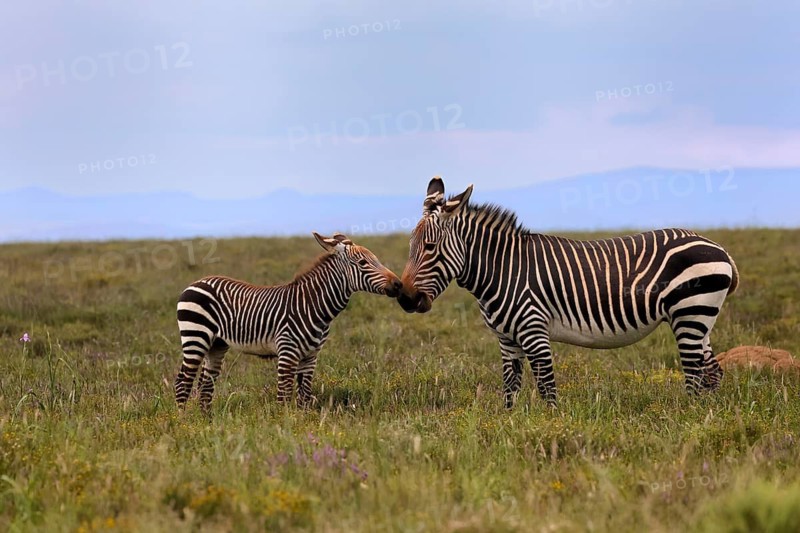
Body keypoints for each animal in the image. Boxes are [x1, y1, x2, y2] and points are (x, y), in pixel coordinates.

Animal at [174, 232, 402, 411]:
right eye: (363, 263)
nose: (399, 284)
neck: (312, 306)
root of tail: (197, 282)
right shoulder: (287, 352)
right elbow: (283, 396)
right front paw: (283, 427)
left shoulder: (310, 356)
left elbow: (304, 396)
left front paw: (302, 424)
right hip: (195, 336)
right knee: (182, 382)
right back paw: (185, 423)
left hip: (217, 344)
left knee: (205, 384)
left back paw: (207, 421)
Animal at [396, 176, 739, 408]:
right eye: (410, 245)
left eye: (430, 247)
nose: (405, 298)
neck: (502, 270)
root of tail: (718, 247)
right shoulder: (507, 340)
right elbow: (510, 390)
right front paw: (508, 428)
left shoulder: (534, 331)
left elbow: (547, 388)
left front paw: (550, 427)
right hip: (699, 320)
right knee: (712, 372)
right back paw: (705, 417)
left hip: (690, 313)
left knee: (695, 373)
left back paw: (687, 416)